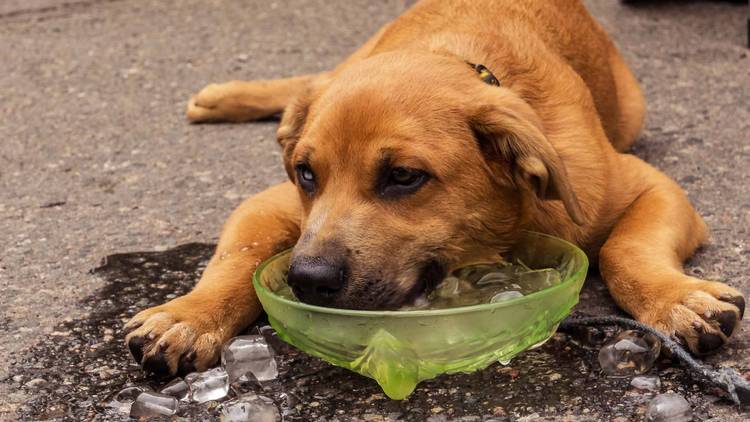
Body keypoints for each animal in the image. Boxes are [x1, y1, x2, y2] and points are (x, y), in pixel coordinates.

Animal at [125, 0, 748, 376]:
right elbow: (236, 258)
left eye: (403, 177)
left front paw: (673, 300)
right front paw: (189, 315)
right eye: (306, 174)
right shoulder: (270, 203)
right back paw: (223, 96)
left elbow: (626, 249)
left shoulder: (650, 188)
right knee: (312, 81)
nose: (308, 281)